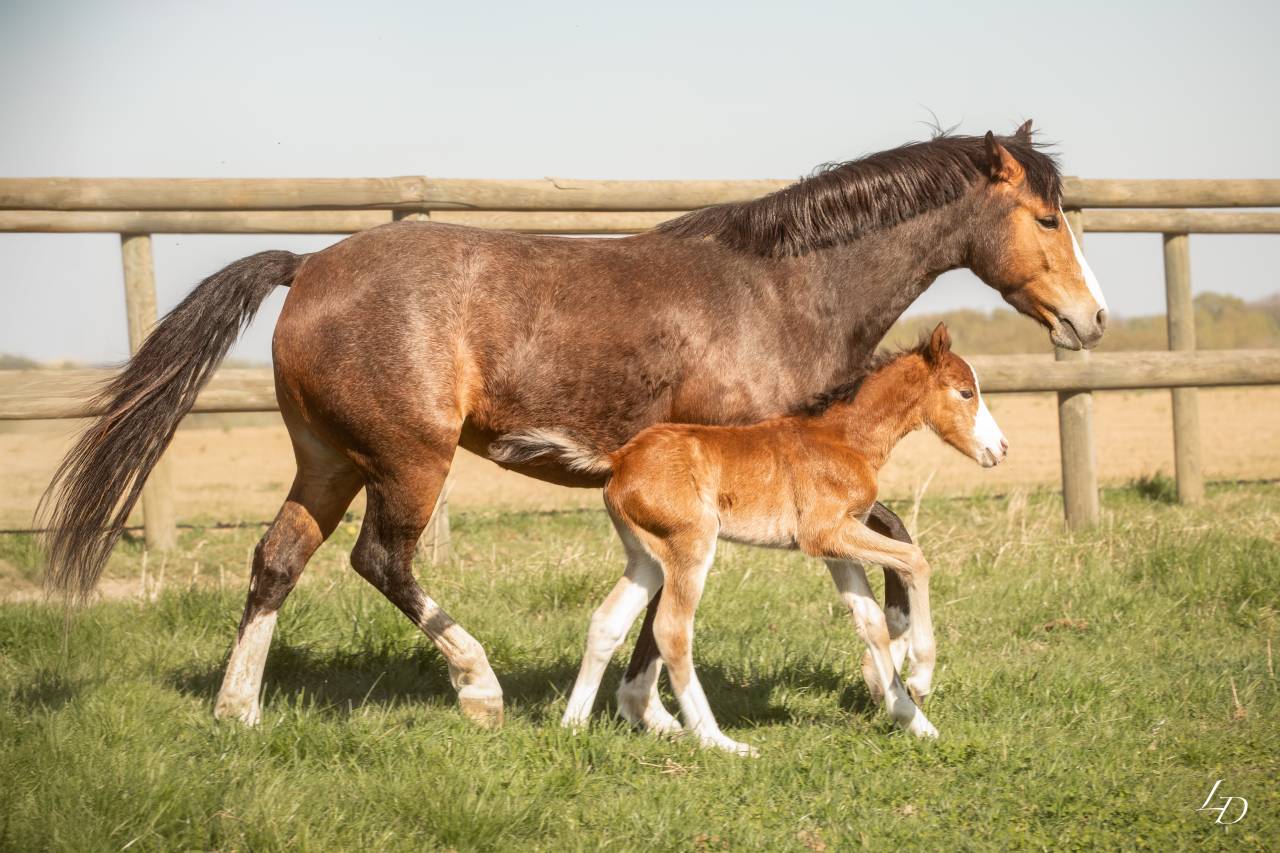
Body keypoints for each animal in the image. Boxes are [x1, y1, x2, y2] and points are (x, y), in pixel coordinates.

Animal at [491, 322, 1005, 752]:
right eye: (965, 391)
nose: (999, 450)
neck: (843, 438)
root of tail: (618, 459)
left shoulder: (836, 547)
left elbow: (870, 619)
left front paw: (914, 721)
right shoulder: (828, 532)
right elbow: (916, 560)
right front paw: (921, 677)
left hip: (646, 557)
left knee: (606, 621)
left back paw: (573, 726)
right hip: (690, 545)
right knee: (672, 630)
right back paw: (718, 741)